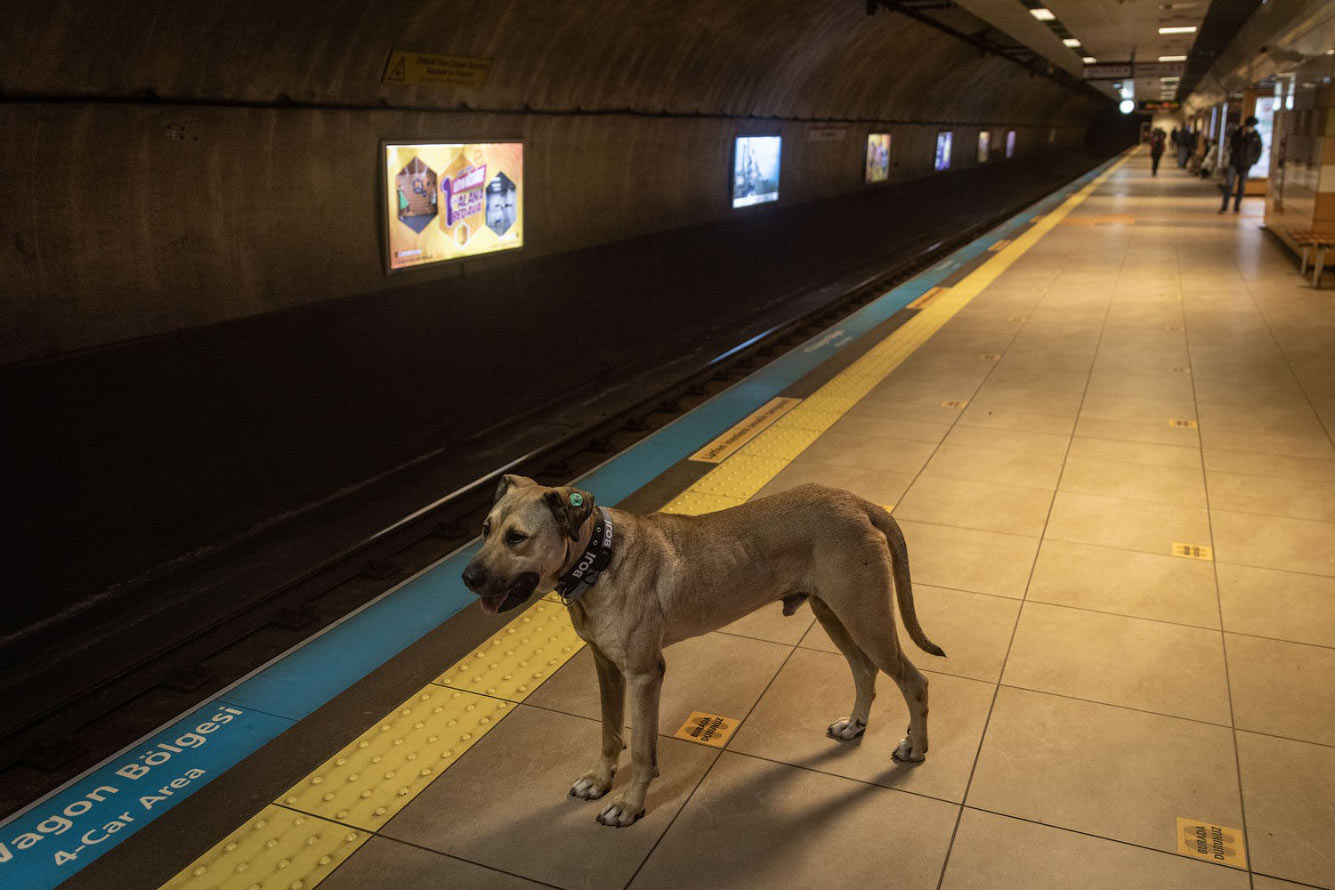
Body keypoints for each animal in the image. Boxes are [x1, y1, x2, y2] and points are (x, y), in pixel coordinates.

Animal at [464, 472, 945, 827]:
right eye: (485, 529)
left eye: (517, 537)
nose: (467, 579)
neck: (599, 558)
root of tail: (856, 501)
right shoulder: (605, 666)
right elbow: (609, 732)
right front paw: (600, 781)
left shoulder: (644, 674)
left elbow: (641, 749)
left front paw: (630, 804)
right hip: (835, 614)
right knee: (865, 671)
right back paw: (855, 725)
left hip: (865, 617)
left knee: (915, 682)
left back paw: (916, 748)